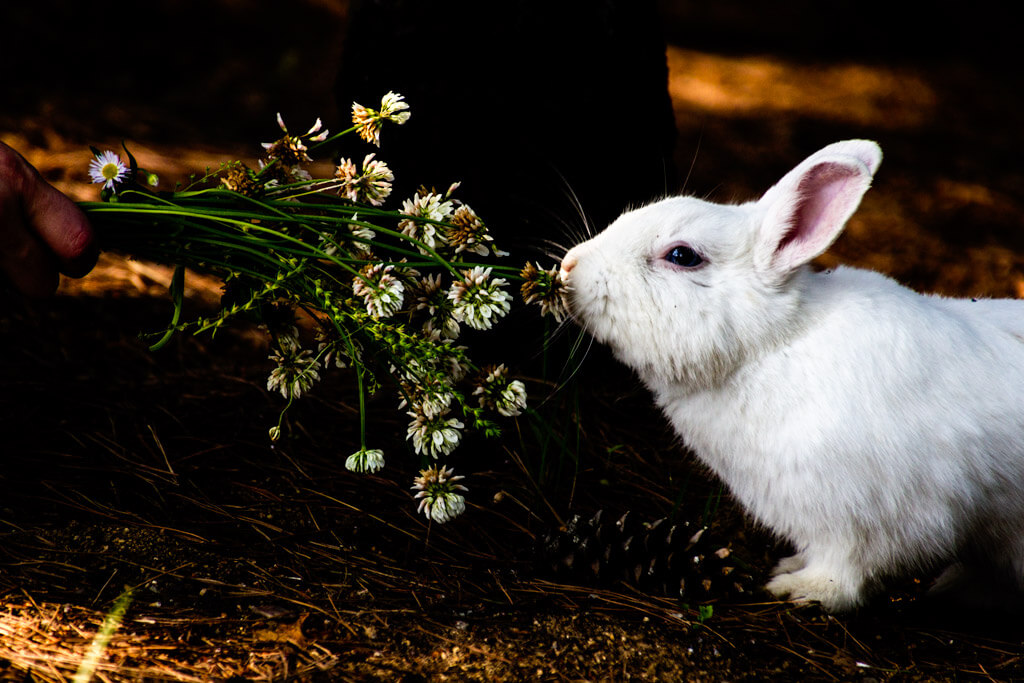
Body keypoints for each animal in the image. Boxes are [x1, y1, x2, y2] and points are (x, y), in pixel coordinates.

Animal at [565, 140, 1024, 614]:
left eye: (682, 256)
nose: (568, 266)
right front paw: (790, 566)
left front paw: (800, 588)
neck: (773, 346)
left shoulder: (881, 517)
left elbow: (853, 569)